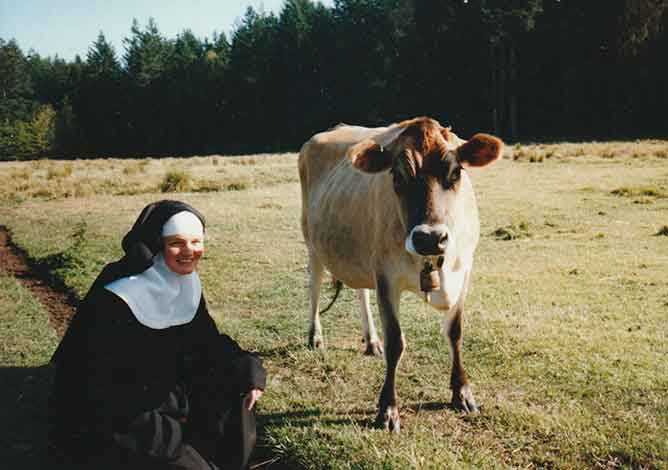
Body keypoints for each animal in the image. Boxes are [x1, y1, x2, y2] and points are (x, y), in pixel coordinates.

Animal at [300, 117, 504, 434]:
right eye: (397, 176)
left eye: (455, 172)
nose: (429, 238)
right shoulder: (386, 276)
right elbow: (396, 342)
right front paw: (388, 409)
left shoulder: (466, 270)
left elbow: (455, 331)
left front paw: (462, 392)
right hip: (312, 242)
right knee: (315, 286)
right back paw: (315, 336)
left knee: (361, 290)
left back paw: (371, 340)